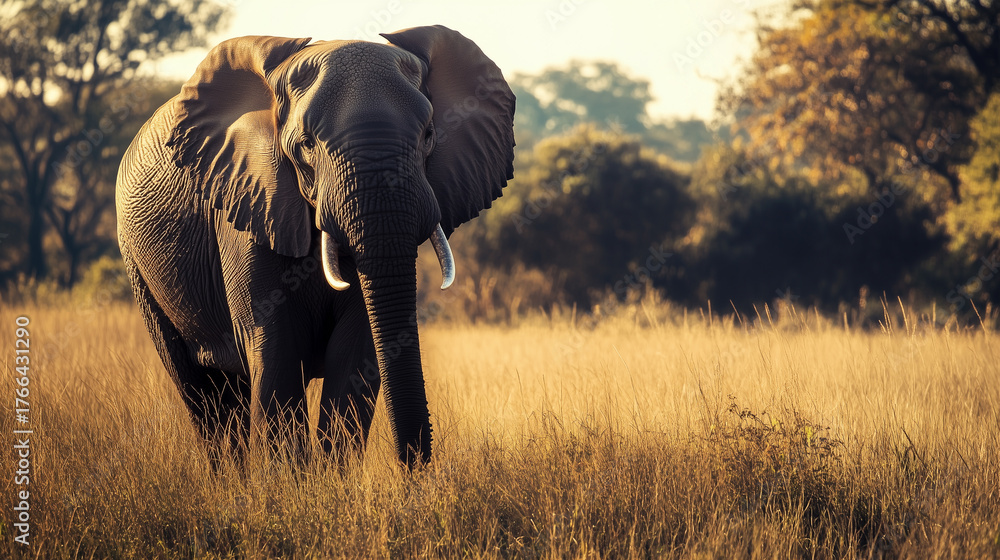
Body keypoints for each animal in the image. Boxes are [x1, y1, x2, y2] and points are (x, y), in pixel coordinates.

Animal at [115, 25, 515, 467]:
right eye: (306, 144)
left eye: (429, 135)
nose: (413, 468)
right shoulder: (250, 203)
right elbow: (275, 350)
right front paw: (288, 483)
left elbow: (354, 355)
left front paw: (330, 479)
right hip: (139, 269)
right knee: (201, 392)